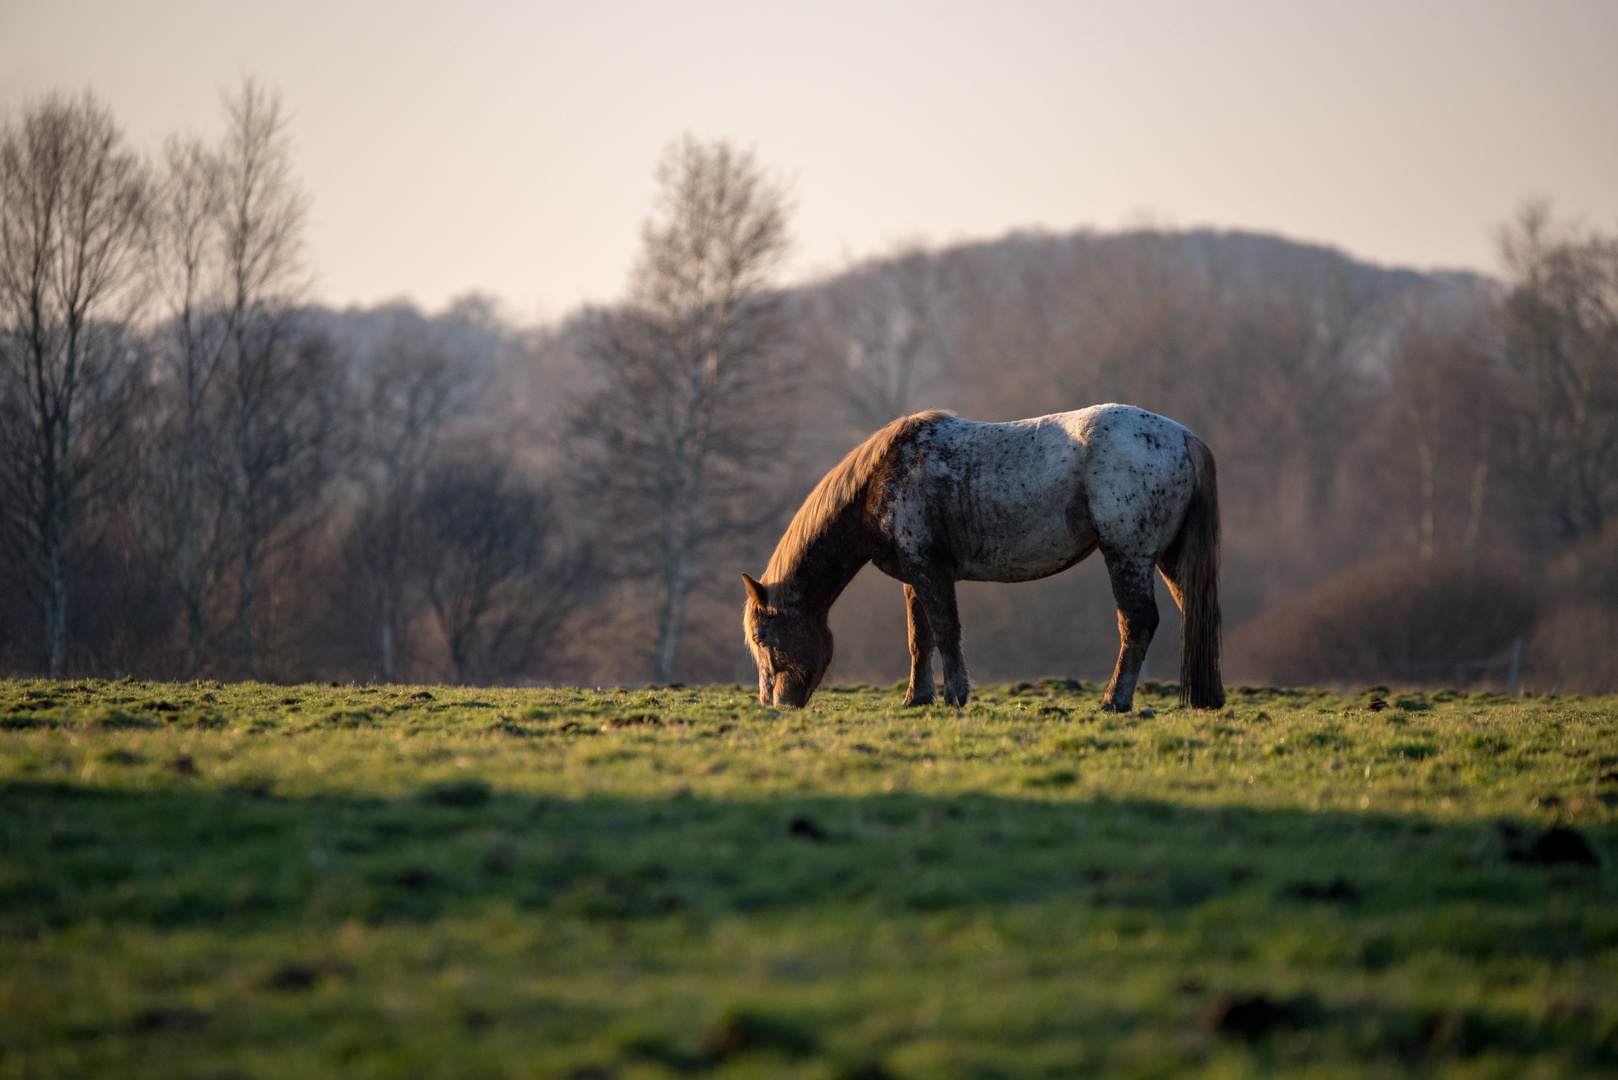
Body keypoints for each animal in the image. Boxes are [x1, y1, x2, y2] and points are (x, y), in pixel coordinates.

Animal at [741, 401, 1216, 712]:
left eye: (762, 639)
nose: (773, 705)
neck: (880, 481)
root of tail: (1184, 437)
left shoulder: (931, 572)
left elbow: (946, 632)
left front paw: (955, 697)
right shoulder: (914, 578)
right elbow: (920, 639)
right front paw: (917, 699)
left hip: (1128, 556)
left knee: (1138, 623)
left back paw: (1114, 702)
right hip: (1168, 561)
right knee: (1188, 611)